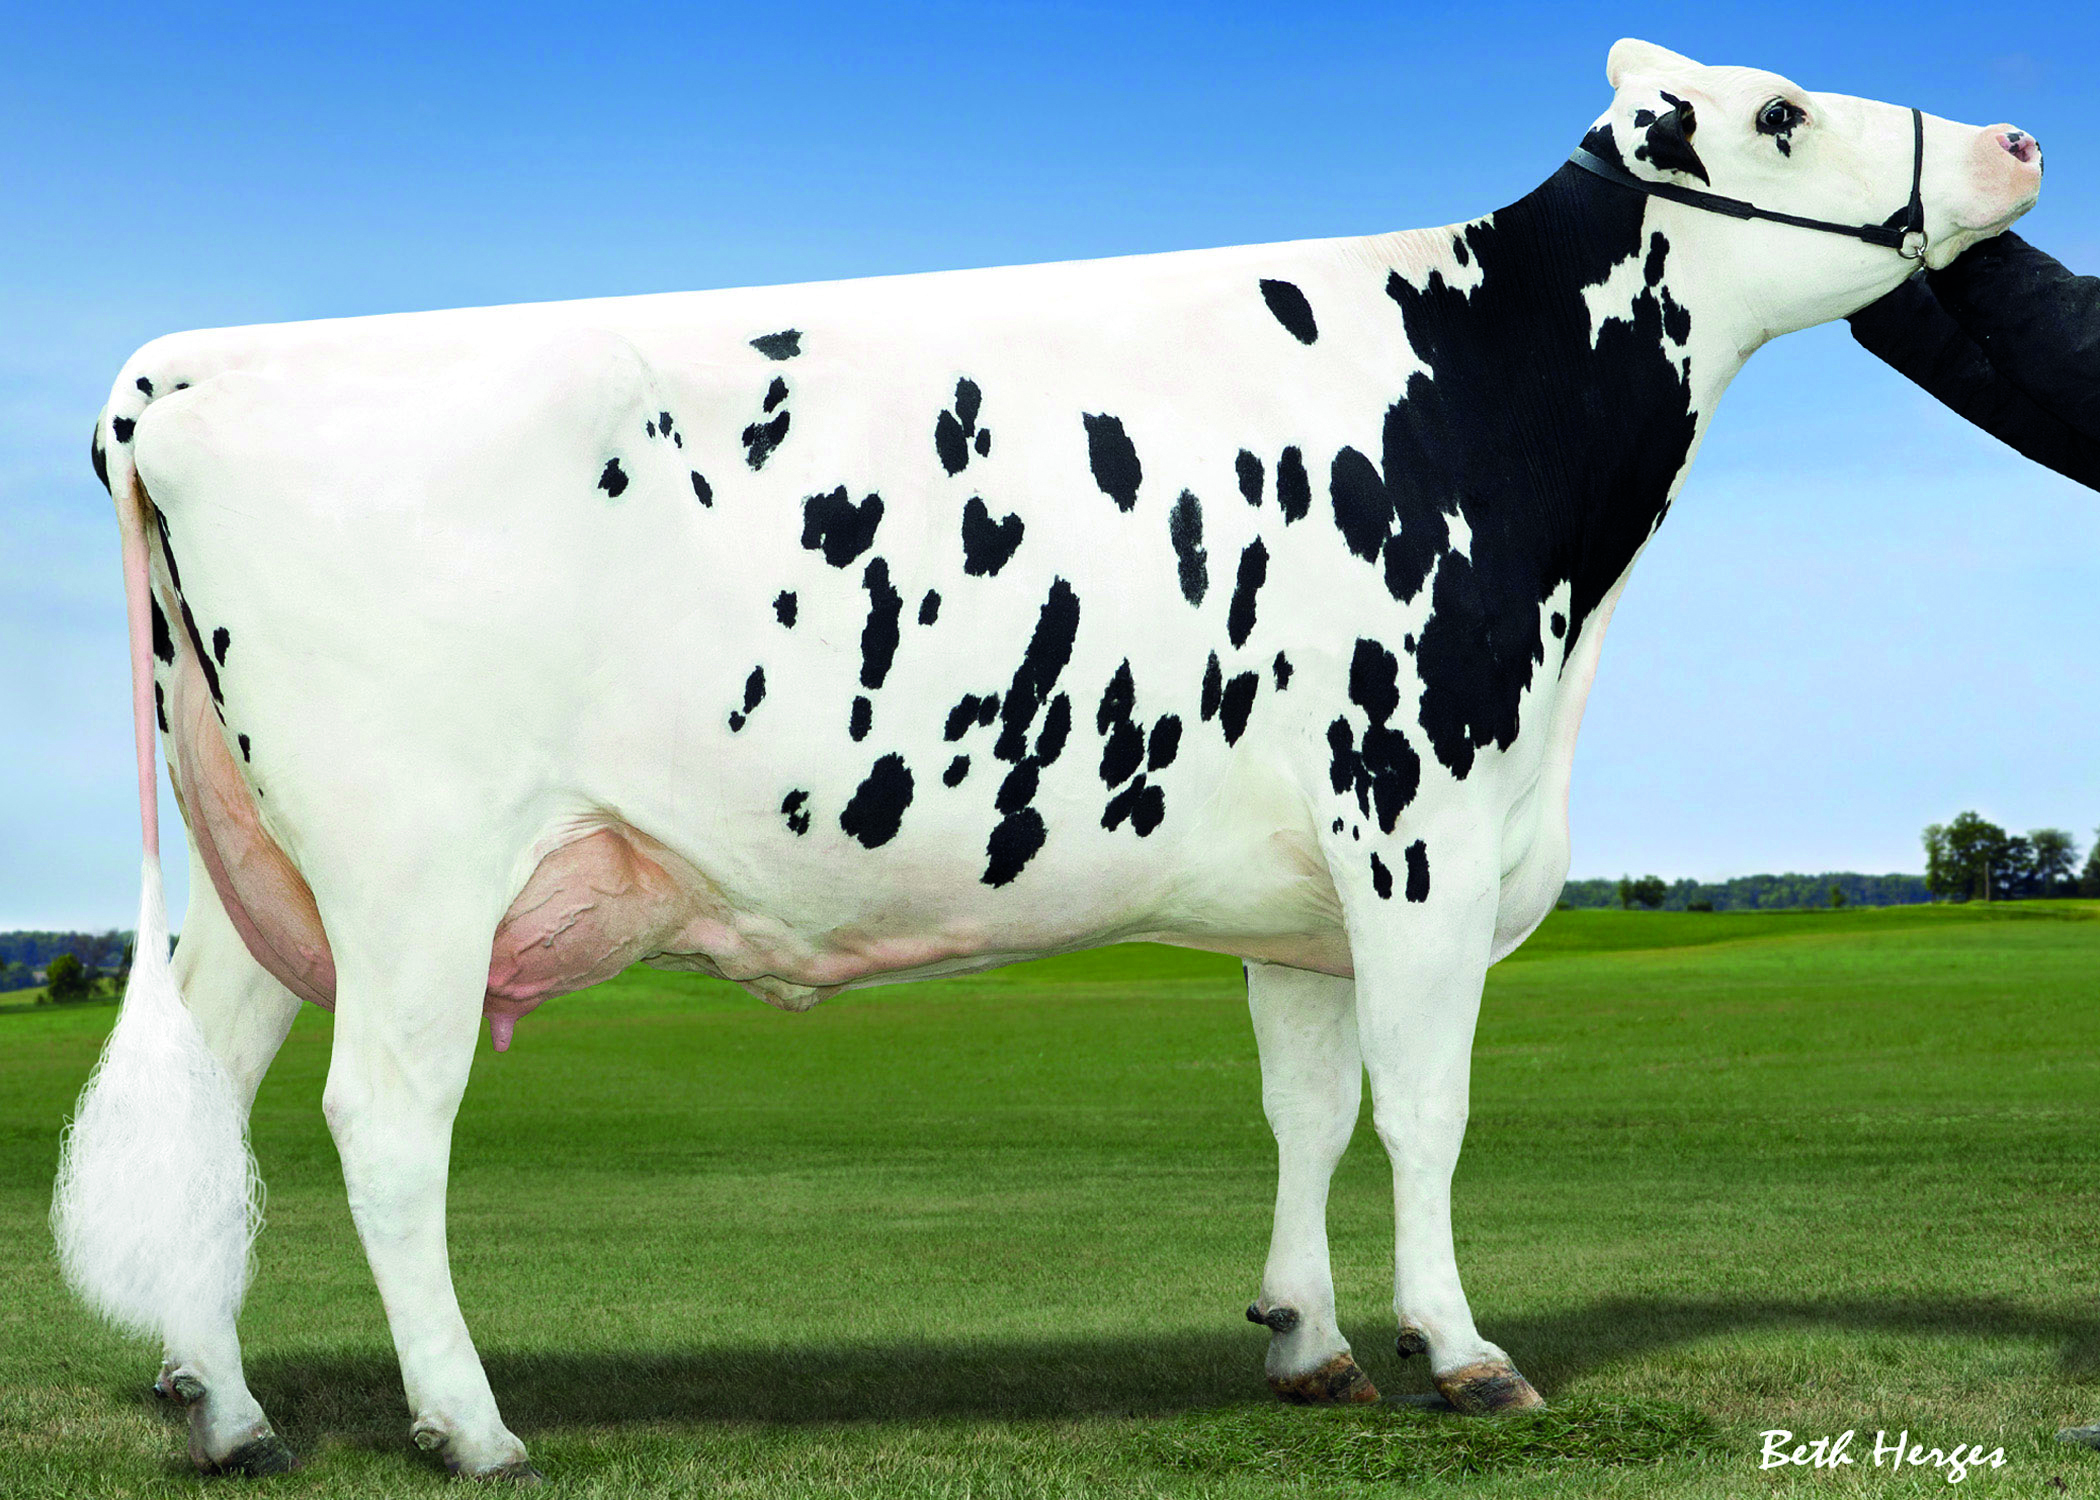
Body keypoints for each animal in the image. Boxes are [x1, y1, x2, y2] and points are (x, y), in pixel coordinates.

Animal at [53, 38, 2042, 1481]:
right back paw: (469, 1426)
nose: (2021, 141)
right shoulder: (1414, 823)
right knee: (384, 1127)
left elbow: (1308, 1109)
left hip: (260, 874)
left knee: (215, 1098)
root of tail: (183, 372)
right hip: (415, 872)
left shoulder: (1303, 898)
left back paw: (227, 1412)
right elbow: (1426, 1109)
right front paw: (1464, 1352)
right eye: (1782, 112)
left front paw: (1312, 1341)